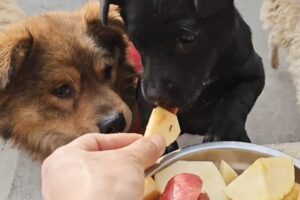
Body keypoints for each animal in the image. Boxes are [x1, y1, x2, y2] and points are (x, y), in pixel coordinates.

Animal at [101, 0, 264, 148]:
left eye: (188, 38)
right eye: (135, 40)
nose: (155, 97)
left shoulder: (254, 74)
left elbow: (237, 98)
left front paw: (225, 131)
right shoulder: (142, 90)